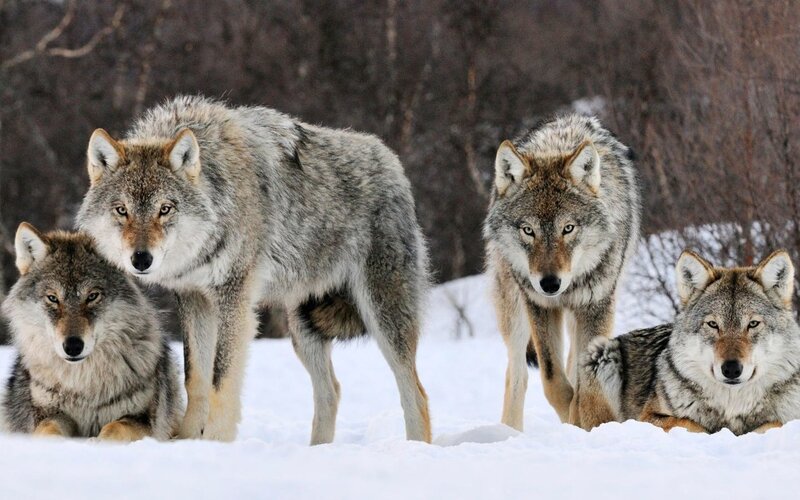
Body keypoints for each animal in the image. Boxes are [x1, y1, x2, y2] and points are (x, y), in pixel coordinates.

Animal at [1, 224, 182, 440]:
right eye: (53, 298)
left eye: (92, 296)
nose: (72, 346)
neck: (83, 386)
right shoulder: (48, 413)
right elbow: (48, 429)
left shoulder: (143, 419)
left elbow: (115, 428)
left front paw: (98, 442)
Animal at [77, 96, 431, 444]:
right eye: (122, 210)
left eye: (165, 209)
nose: (141, 260)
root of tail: (391, 160)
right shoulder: (194, 299)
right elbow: (196, 378)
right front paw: (187, 441)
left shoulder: (234, 299)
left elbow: (221, 380)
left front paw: (215, 443)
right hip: (303, 328)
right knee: (331, 391)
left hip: (382, 316)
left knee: (416, 393)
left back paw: (415, 447)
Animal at [484, 114, 640, 430]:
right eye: (528, 230)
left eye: (568, 228)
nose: (550, 283)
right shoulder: (539, 306)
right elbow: (553, 379)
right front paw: (572, 417)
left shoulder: (596, 305)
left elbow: (584, 381)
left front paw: (584, 421)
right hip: (514, 310)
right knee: (517, 374)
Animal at [585, 250, 800, 434]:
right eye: (713, 324)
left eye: (753, 324)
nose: (731, 369)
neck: (732, 406)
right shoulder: (647, 417)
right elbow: (690, 423)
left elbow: (775, 423)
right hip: (602, 354)